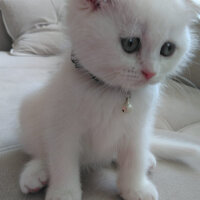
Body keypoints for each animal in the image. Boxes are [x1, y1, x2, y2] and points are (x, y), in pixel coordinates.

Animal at [19, 0, 200, 200]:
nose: (150, 73)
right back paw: (35, 174)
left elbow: (134, 156)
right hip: (30, 109)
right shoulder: (62, 124)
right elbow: (62, 160)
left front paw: (135, 188)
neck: (111, 92)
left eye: (168, 48)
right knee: (40, 150)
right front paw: (64, 193)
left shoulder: (139, 125)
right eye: (130, 43)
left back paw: (146, 158)